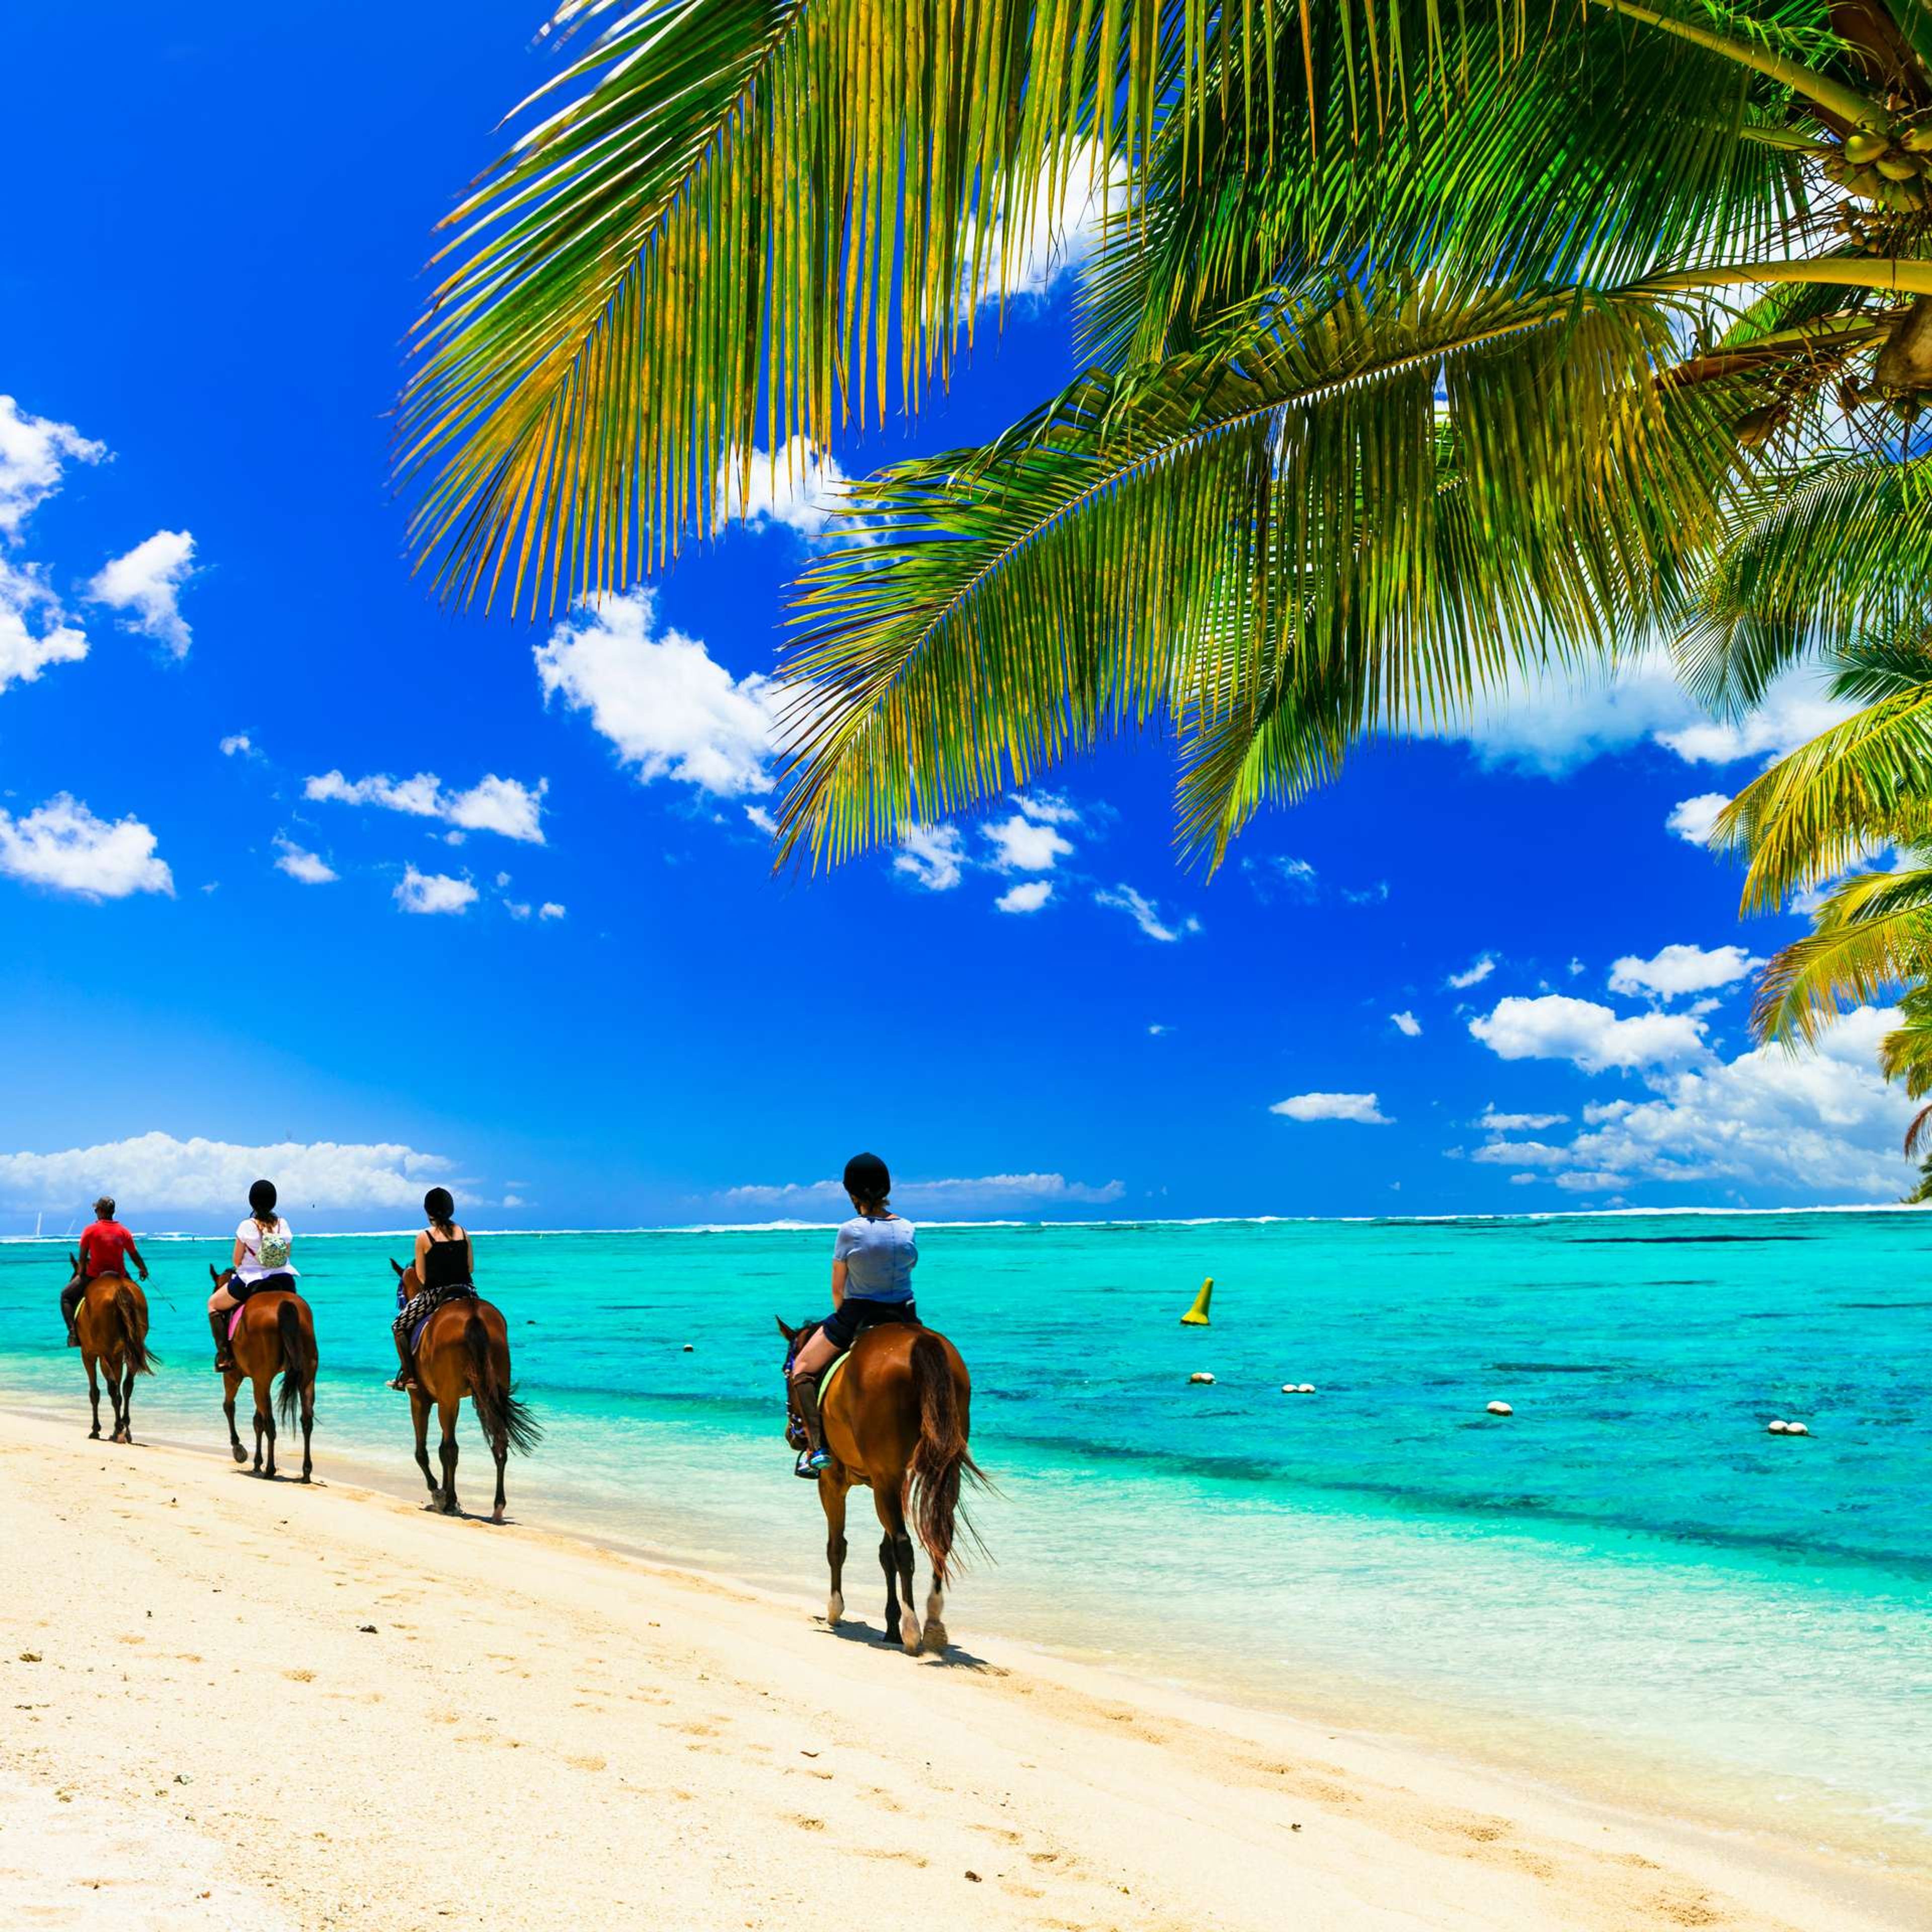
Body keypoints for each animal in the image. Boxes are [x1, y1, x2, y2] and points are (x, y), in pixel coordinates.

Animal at [66, 1259, 155, 1445]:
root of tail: (120, 1288)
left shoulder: (90, 1355)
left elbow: (96, 1392)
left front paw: (96, 1430)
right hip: (130, 1352)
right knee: (127, 1386)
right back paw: (125, 1428)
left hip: (111, 1354)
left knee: (116, 1390)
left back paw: (118, 1430)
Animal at [206, 1267, 316, 1476]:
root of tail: (285, 1304)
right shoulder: (257, 1379)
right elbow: (257, 1420)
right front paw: (257, 1462)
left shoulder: (234, 1376)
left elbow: (229, 1406)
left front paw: (239, 1449)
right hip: (307, 1376)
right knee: (306, 1420)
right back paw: (306, 1471)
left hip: (261, 1380)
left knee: (270, 1423)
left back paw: (270, 1469)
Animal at [386, 1259, 537, 1514]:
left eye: (400, 1290)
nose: (401, 1303)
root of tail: (473, 1315)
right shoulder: (452, 1400)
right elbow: (439, 1450)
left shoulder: (421, 1400)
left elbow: (423, 1452)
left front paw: (438, 1491)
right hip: (489, 1393)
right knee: (499, 1442)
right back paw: (498, 1505)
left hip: (446, 1399)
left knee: (451, 1448)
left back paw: (448, 1501)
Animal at [776, 1321, 981, 1654]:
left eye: (786, 1372)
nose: (792, 1435)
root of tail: (920, 1341)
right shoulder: (888, 1485)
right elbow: (886, 1556)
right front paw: (890, 1626)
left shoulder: (834, 1483)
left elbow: (838, 1546)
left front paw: (836, 1611)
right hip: (933, 1475)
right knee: (939, 1537)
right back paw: (932, 1623)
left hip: (884, 1480)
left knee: (904, 1546)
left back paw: (912, 1629)